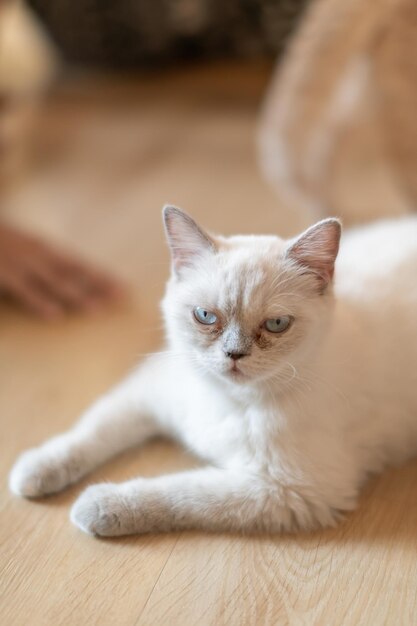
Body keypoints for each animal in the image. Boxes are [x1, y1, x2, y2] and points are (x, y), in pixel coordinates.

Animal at [8, 207, 417, 532]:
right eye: (205, 316)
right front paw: (34, 471)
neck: (227, 398)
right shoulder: (146, 392)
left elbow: (179, 493)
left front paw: (100, 506)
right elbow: (90, 432)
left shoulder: (289, 489)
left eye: (276, 325)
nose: (234, 354)